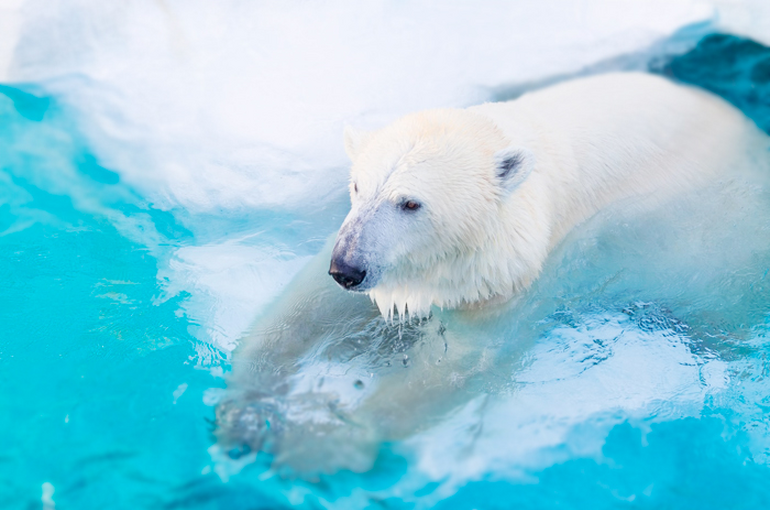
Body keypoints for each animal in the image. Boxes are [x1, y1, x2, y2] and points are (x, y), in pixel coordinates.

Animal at [215, 72, 769, 477]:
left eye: (410, 202)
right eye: (357, 186)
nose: (348, 269)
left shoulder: (520, 273)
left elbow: (457, 367)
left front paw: (319, 440)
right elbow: (307, 305)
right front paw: (244, 407)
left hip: (716, 251)